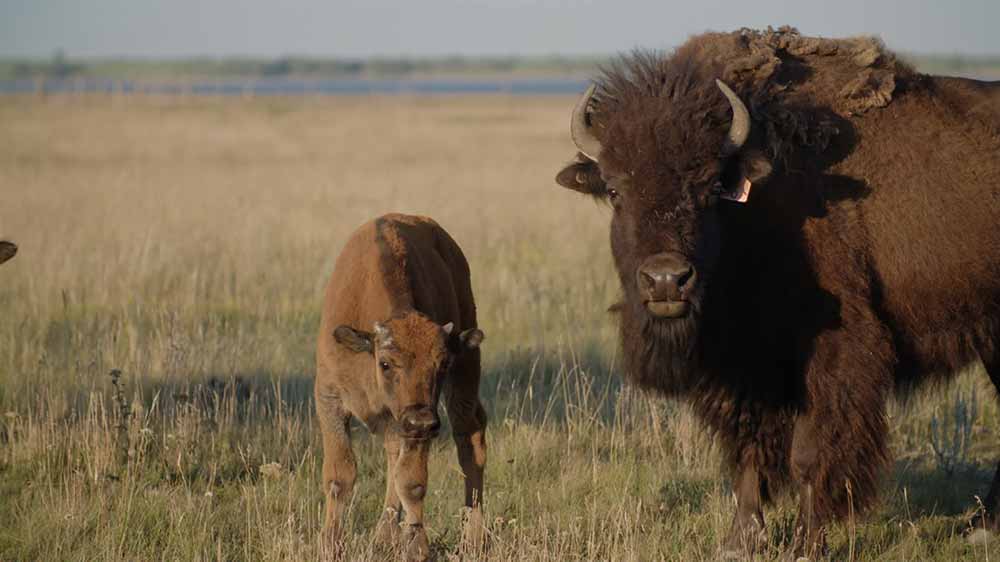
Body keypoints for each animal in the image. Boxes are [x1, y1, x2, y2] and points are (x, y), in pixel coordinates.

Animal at [312, 212, 484, 556]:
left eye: (443, 363)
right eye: (386, 363)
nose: (421, 421)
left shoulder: (418, 423)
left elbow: (412, 482)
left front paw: (416, 546)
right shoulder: (329, 399)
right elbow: (340, 476)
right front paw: (330, 544)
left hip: (464, 378)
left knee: (470, 440)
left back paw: (474, 540)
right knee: (394, 455)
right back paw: (385, 535)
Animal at [556, 27, 1000, 556]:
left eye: (710, 187)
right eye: (615, 190)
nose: (666, 280)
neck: (756, 211)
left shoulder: (833, 356)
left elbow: (810, 452)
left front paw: (807, 544)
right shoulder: (743, 371)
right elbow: (749, 447)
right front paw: (740, 541)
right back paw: (984, 525)